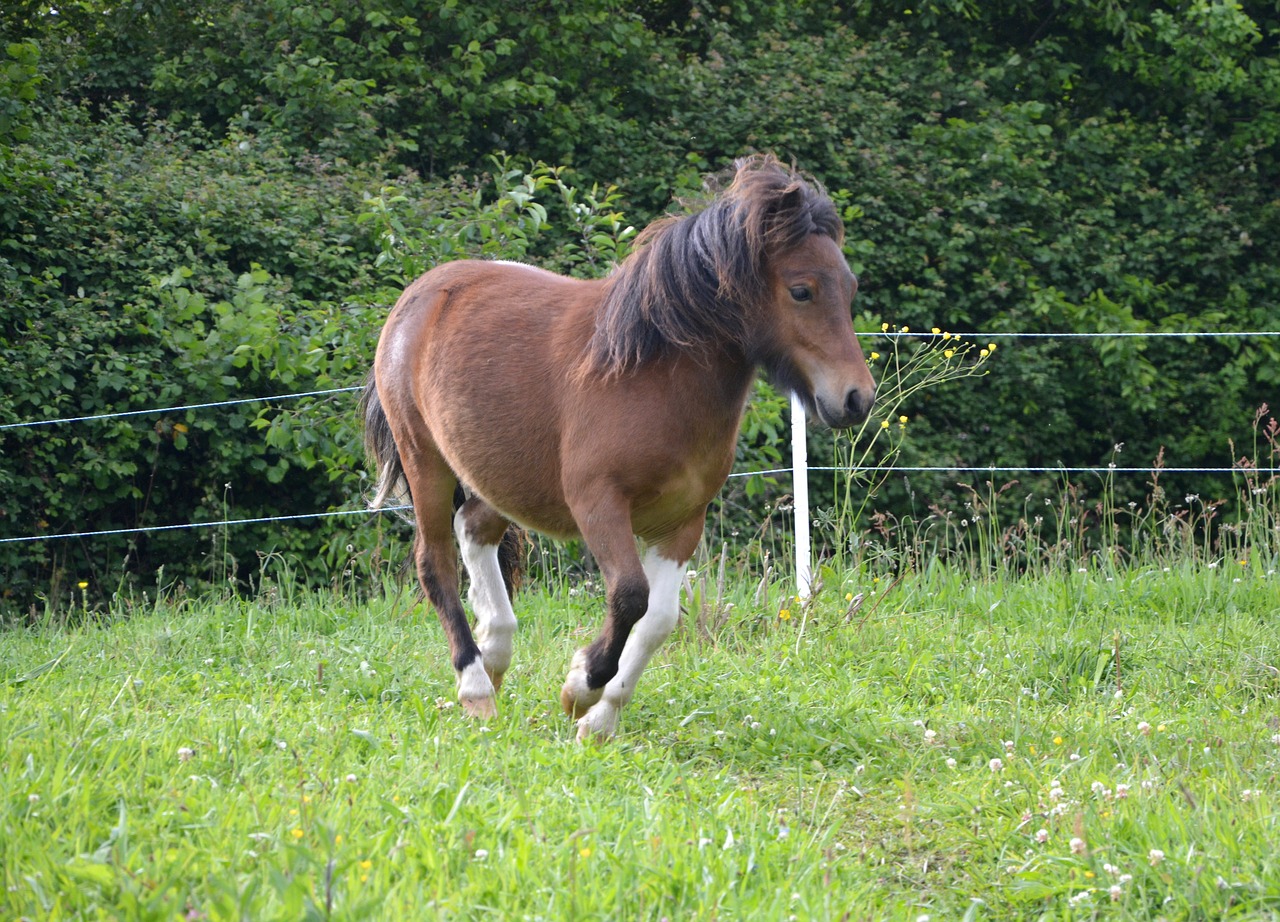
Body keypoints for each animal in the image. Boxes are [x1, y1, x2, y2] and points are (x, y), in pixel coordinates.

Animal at [366, 156, 875, 742]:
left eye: (850, 287)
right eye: (801, 291)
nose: (857, 398)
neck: (652, 374)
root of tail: (418, 295)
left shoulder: (682, 522)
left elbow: (658, 621)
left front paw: (601, 719)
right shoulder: (598, 504)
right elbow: (630, 596)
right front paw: (580, 687)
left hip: (499, 473)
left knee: (474, 529)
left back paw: (496, 650)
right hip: (425, 460)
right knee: (436, 564)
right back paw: (476, 687)